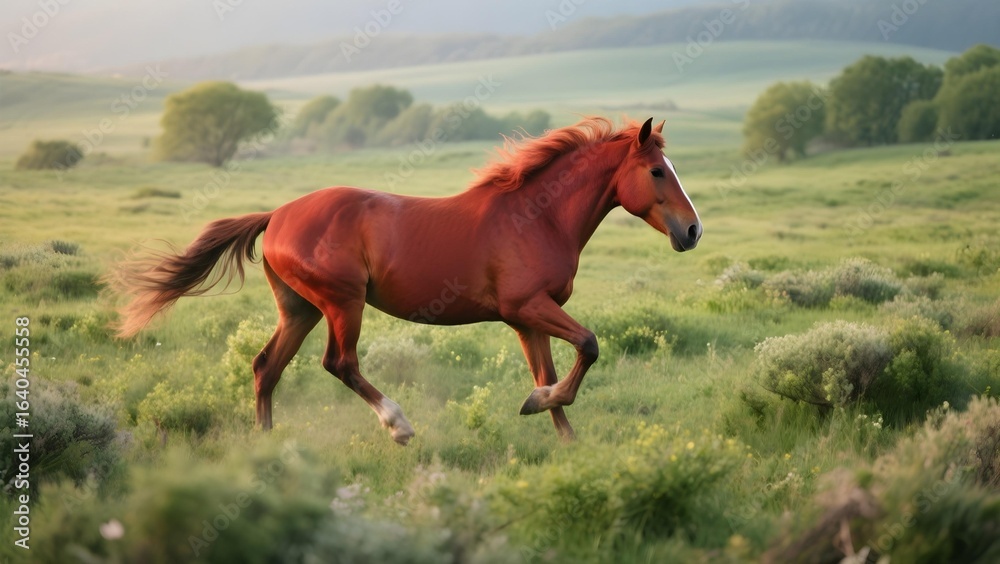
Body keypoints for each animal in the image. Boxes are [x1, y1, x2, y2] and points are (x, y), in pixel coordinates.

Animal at [112, 117, 702, 444]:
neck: (538, 217)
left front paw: (561, 434)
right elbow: (589, 346)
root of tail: (276, 215)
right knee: (339, 363)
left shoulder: (528, 319)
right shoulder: (526, 308)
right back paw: (399, 426)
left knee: (265, 368)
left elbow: (551, 373)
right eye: (656, 172)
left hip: (300, 309)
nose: (693, 231)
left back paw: (267, 447)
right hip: (343, 303)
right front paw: (540, 408)